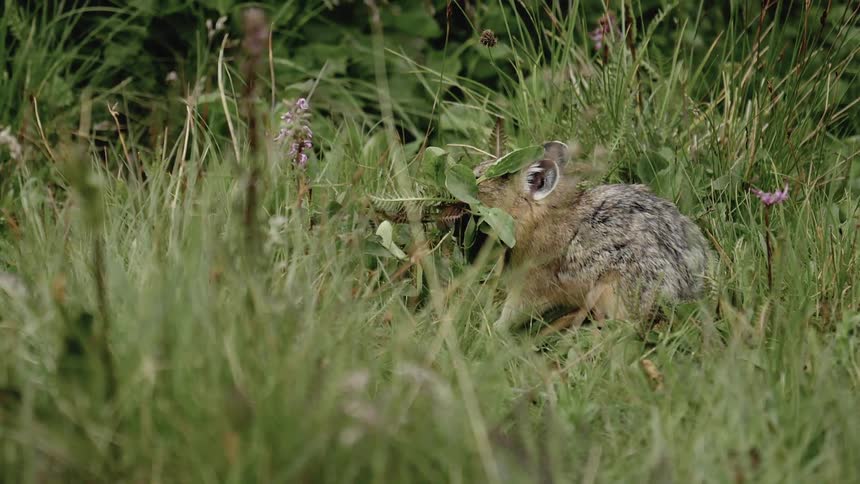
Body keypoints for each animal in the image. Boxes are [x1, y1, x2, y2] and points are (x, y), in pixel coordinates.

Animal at [474, 141, 713, 334]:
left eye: (498, 176)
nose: (474, 173)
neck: (539, 220)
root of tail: (686, 291)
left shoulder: (532, 283)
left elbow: (514, 311)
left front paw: (492, 329)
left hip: (614, 289)